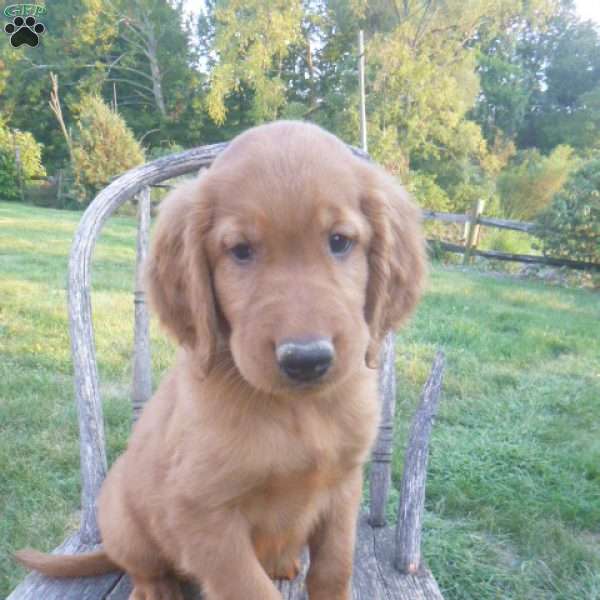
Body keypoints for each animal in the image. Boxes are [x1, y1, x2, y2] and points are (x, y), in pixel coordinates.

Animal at [15, 119, 426, 596]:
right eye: (241, 250)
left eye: (340, 242)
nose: (306, 359)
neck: (297, 411)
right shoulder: (202, 513)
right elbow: (250, 587)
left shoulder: (343, 488)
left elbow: (333, 569)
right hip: (120, 516)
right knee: (143, 565)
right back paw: (158, 589)